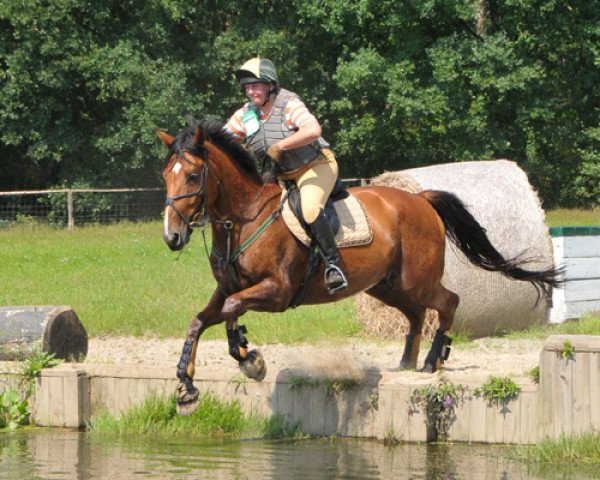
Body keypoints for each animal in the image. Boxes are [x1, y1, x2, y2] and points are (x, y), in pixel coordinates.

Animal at [158, 118, 564, 414]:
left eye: (192, 176)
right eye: (165, 175)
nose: (172, 237)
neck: (242, 218)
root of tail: (420, 198)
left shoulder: (276, 292)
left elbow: (231, 310)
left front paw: (249, 359)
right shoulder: (229, 289)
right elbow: (199, 321)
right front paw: (186, 383)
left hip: (417, 279)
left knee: (447, 303)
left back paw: (433, 360)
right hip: (385, 285)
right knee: (416, 314)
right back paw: (407, 361)